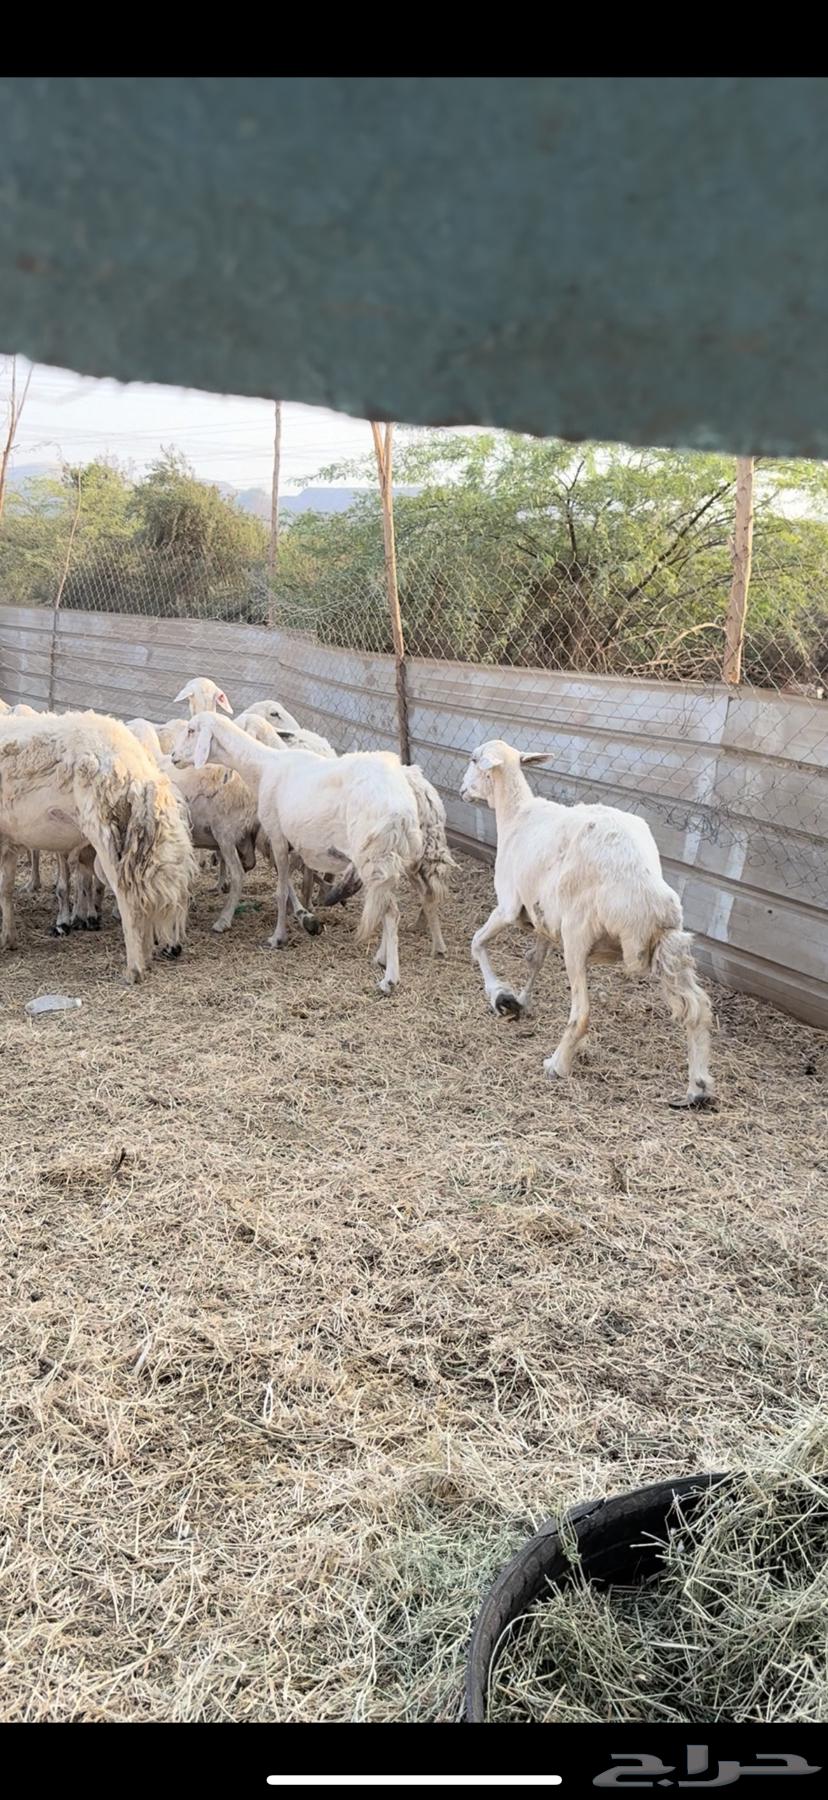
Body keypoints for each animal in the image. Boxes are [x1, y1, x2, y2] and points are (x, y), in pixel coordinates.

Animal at [0, 710, 196, 982]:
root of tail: (140, 772)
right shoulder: (8, 840)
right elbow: (5, 889)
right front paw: (8, 939)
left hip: (103, 830)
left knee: (127, 894)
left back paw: (134, 969)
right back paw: (146, 956)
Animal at [172, 713, 423, 991]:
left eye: (191, 730)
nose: (173, 757)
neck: (263, 767)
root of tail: (401, 810)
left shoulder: (277, 836)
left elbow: (281, 892)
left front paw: (277, 937)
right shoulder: (293, 845)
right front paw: (304, 917)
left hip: (373, 855)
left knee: (389, 912)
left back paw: (390, 978)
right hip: (390, 858)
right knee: (388, 907)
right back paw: (381, 957)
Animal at [460, 739, 716, 1108]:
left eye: (473, 759)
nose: (462, 790)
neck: (515, 814)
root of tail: (650, 896)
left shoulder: (508, 906)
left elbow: (477, 943)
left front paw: (500, 997)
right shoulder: (542, 918)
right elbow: (534, 960)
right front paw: (521, 1000)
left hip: (577, 936)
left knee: (581, 1014)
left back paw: (556, 1065)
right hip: (670, 947)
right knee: (697, 1009)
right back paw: (698, 1088)